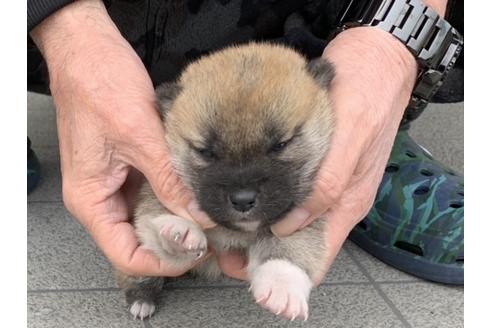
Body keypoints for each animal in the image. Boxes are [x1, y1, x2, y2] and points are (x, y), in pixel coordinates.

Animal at [117, 42, 336, 322]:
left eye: (281, 144)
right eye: (205, 152)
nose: (243, 200)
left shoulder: (304, 215)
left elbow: (293, 245)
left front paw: (281, 281)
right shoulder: (153, 192)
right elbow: (155, 222)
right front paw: (180, 231)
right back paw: (142, 298)